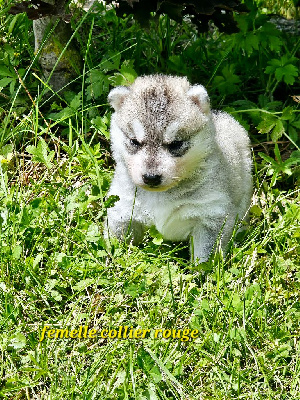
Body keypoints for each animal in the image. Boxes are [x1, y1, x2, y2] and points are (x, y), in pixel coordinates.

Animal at [105, 75, 251, 262]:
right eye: (134, 142)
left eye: (176, 144)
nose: (151, 177)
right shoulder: (123, 208)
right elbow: (118, 240)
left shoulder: (211, 215)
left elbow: (204, 257)